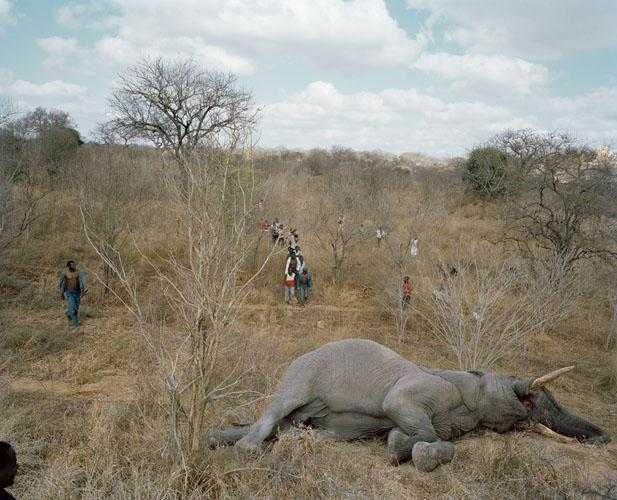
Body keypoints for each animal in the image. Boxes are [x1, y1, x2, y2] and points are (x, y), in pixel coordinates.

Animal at [206, 338, 608, 470]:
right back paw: (249, 450)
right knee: (272, 415)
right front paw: (410, 450)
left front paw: (400, 445)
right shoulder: (424, 387)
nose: (604, 438)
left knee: (290, 429)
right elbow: (403, 410)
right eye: (527, 395)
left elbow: (421, 434)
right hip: (300, 373)